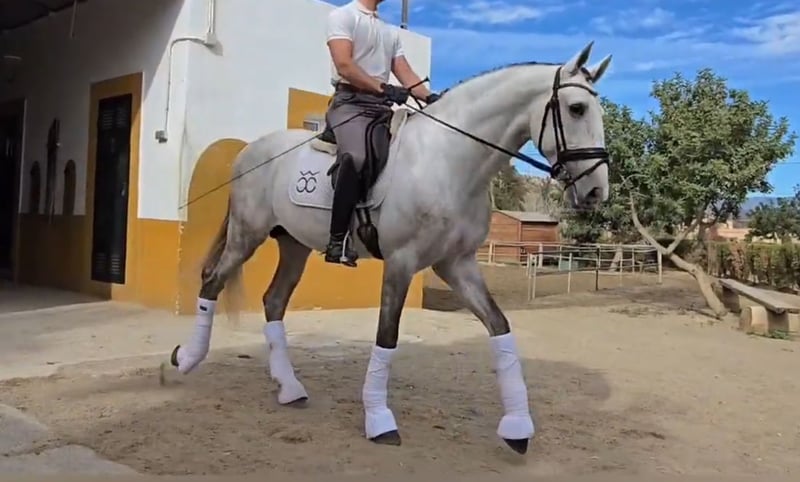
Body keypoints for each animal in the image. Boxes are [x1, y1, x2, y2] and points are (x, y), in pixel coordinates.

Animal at [168, 41, 613, 455]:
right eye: (576, 109)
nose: (596, 192)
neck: (448, 160)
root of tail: (251, 151)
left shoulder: (457, 264)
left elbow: (500, 328)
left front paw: (518, 428)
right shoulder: (402, 262)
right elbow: (387, 335)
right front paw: (379, 420)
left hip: (294, 245)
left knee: (273, 301)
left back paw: (290, 388)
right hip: (247, 235)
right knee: (212, 283)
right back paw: (186, 360)